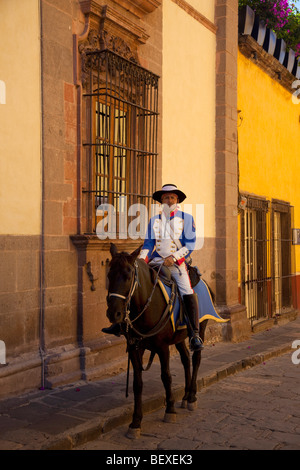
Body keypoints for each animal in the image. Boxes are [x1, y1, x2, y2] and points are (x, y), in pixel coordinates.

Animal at [104, 244, 207, 438]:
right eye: (109, 275)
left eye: (128, 275)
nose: (114, 314)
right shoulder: (134, 346)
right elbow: (137, 383)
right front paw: (135, 422)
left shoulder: (162, 346)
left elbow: (166, 376)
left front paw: (170, 409)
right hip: (179, 337)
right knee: (185, 360)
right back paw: (185, 396)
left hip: (200, 329)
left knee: (196, 358)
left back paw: (192, 397)